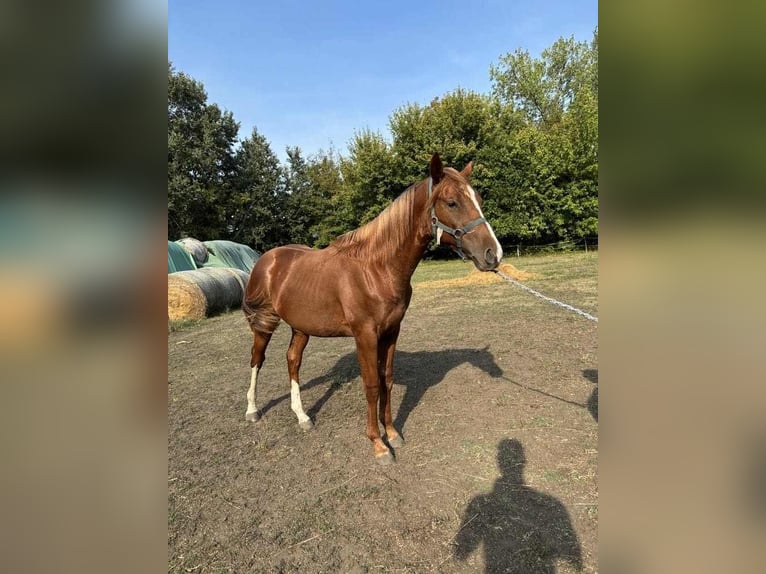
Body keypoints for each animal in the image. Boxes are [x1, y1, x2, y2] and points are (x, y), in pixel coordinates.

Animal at [242, 154, 504, 468]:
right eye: (452, 202)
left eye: (478, 199)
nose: (493, 254)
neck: (377, 268)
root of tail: (267, 259)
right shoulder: (365, 335)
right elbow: (371, 385)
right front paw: (378, 445)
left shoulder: (391, 331)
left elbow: (386, 380)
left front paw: (391, 433)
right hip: (264, 323)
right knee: (257, 359)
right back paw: (252, 411)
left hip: (301, 326)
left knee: (293, 360)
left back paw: (303, 416)